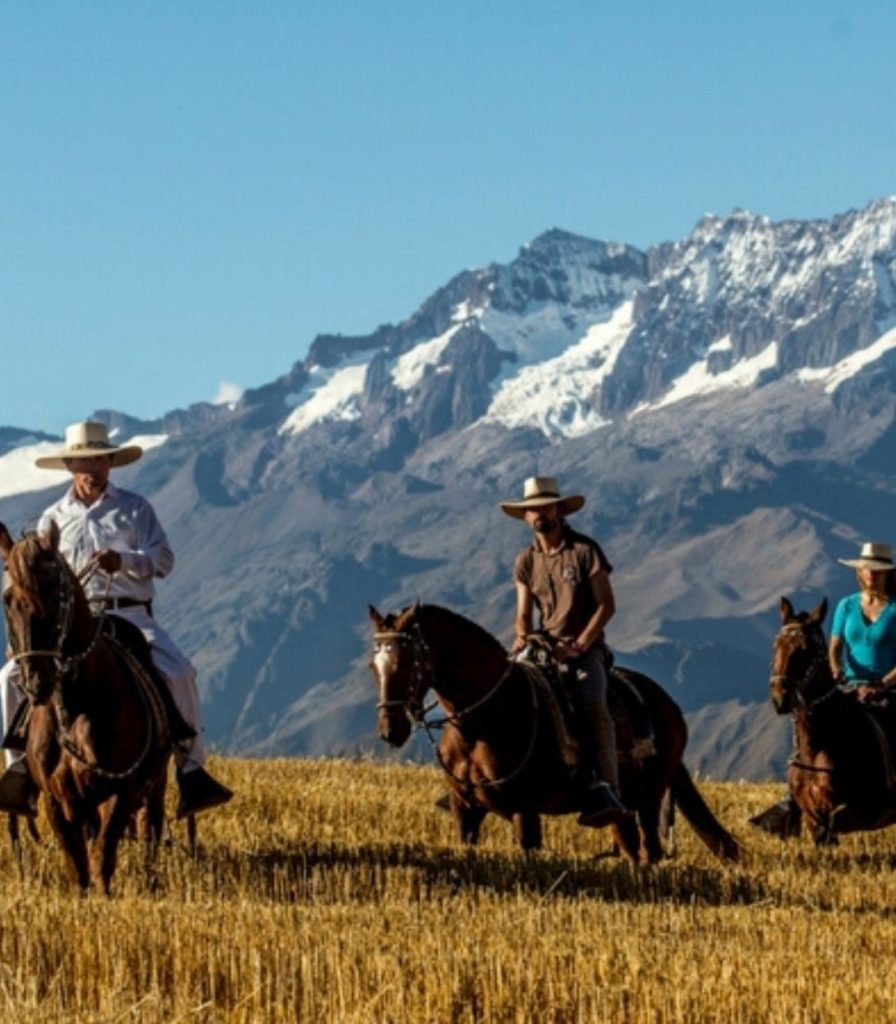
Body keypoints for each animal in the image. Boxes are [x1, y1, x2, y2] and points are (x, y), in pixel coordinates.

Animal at [0, 524, 173, 892]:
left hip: (154, 784)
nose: (36, 682)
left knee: (150, 828)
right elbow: (78, 865)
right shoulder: (56, 800)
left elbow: (102, 859)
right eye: (8, 600)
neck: (75, 705)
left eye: (55, 592)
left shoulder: (119, 792)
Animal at [368, 602, 741, 860]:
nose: (390, 729)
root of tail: (667, 704)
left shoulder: (525, 809)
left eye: (406, 661)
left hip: (649, 795)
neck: (483, 721)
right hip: (626, 807)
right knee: (632, 847)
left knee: (650, 850)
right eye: (374, 666)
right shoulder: (465, 810)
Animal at [765, 598, 896, 843]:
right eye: (776, 645)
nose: (780, 698)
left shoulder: (863, 811)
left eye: (805, 649)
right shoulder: (811, 816)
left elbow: (833, 823)